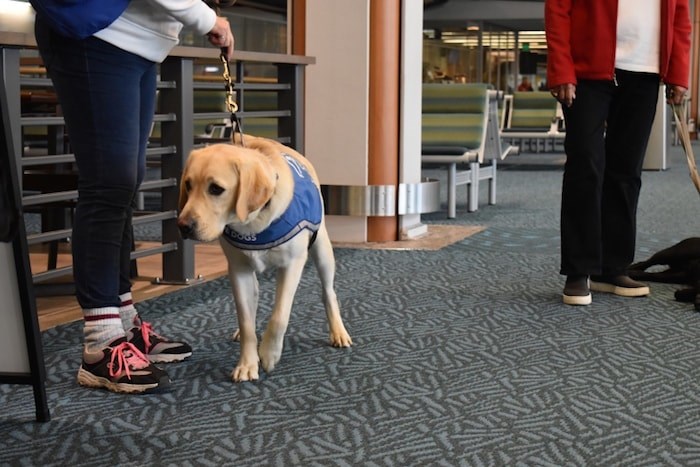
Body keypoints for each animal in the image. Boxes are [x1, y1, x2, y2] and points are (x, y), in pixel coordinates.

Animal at [178, 133, 352, 382]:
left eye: (216, 189)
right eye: (188, 184)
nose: (183, 226)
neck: (252, 223)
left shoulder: (292, 264)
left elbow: (279, 316)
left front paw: (269, 353)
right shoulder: (238, 269)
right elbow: (246, 321)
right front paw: (247, 363)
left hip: (322, 250)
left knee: (328, 292)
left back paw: (338, 331)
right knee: (253, 300)